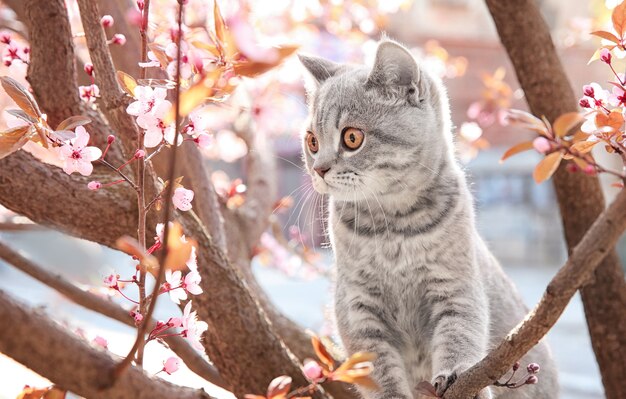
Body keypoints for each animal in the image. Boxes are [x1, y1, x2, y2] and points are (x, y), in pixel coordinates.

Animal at [296, 39, 556, 399]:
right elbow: (377, 368)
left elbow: (459, 336)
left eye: (351, 137)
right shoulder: (357, 307)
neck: (393, 226)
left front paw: (455, 376)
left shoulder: (456, 287)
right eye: (312, 142)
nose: (319, 169)